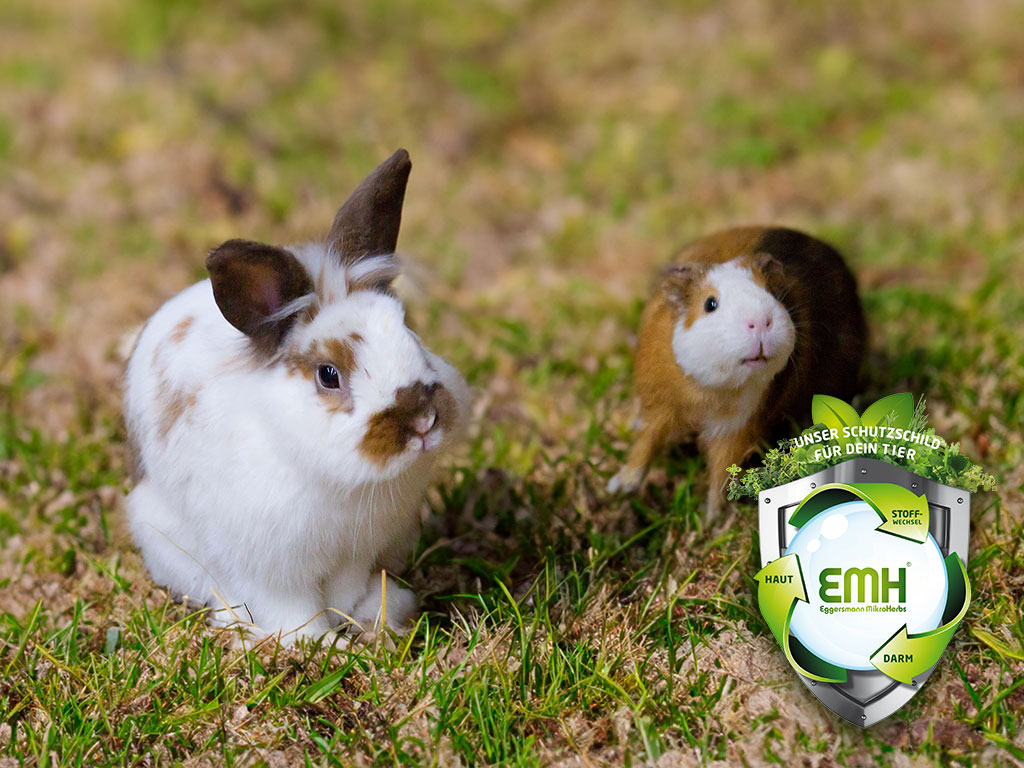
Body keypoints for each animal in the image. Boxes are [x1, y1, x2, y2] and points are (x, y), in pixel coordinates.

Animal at [124, 149, 470, 644]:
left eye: (409, 330)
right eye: (329, 375)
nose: (422, 421)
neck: (338, 482)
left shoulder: (356, 550)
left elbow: (344, 592)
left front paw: (363, 618)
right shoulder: (270, 567)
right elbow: (293, 611)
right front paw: (323, 643)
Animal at [608, 226, 866, 514]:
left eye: (771, 293)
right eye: (710, 303)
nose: (760, 322)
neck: (707, 390)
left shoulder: (737, 426)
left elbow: (722, 471)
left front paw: (710, 516)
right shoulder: (659, 404)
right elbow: (645, 443)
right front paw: (621, 487)